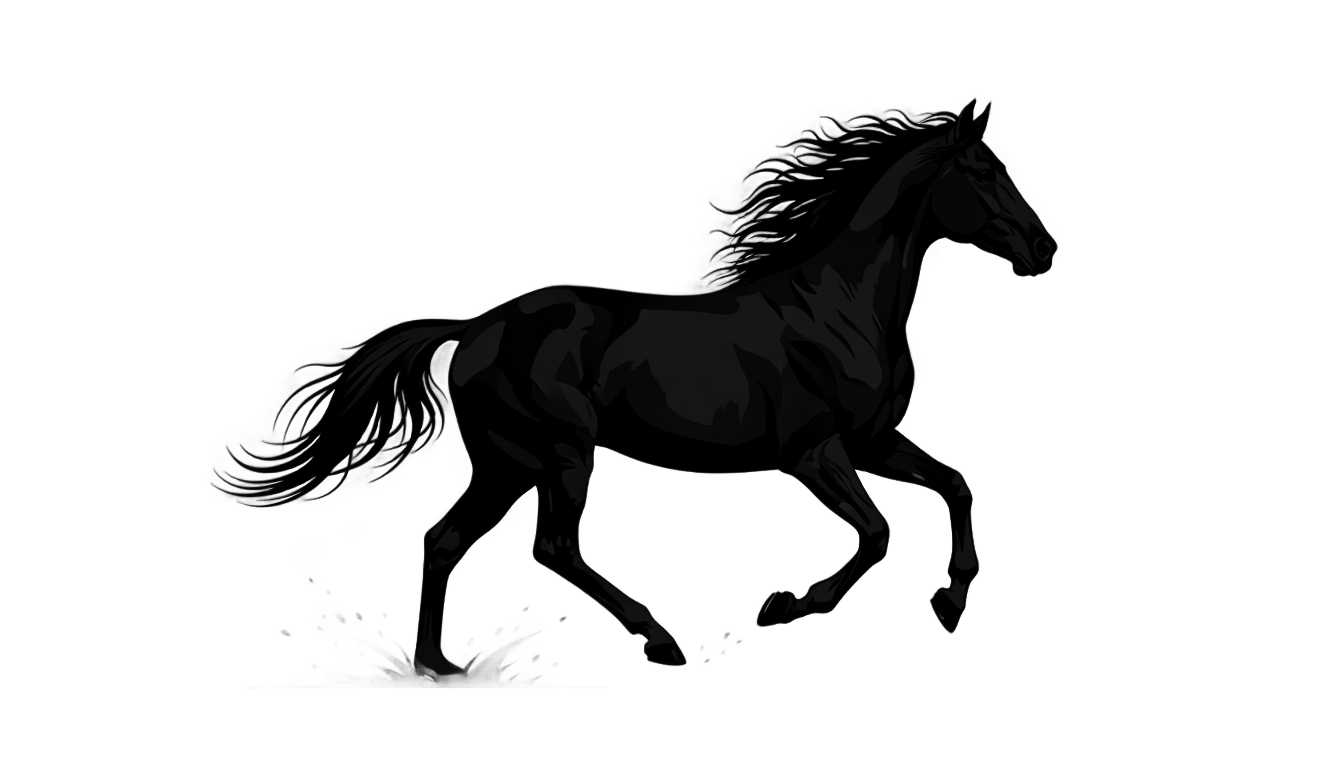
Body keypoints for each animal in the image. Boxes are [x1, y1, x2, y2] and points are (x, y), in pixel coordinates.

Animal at [214, 96, 1056, 674]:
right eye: (985, 171)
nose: (1044, 247)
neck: (841, 303)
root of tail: (476, 325)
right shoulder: (815, 454)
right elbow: (878, 531)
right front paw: (788, 605)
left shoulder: (875, 442)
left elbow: (955, 487)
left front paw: (951, 602)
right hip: (561, 451)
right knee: (553, 546)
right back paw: (659, 641)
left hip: (506, 463)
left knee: (446, 540)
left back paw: (436, 666)